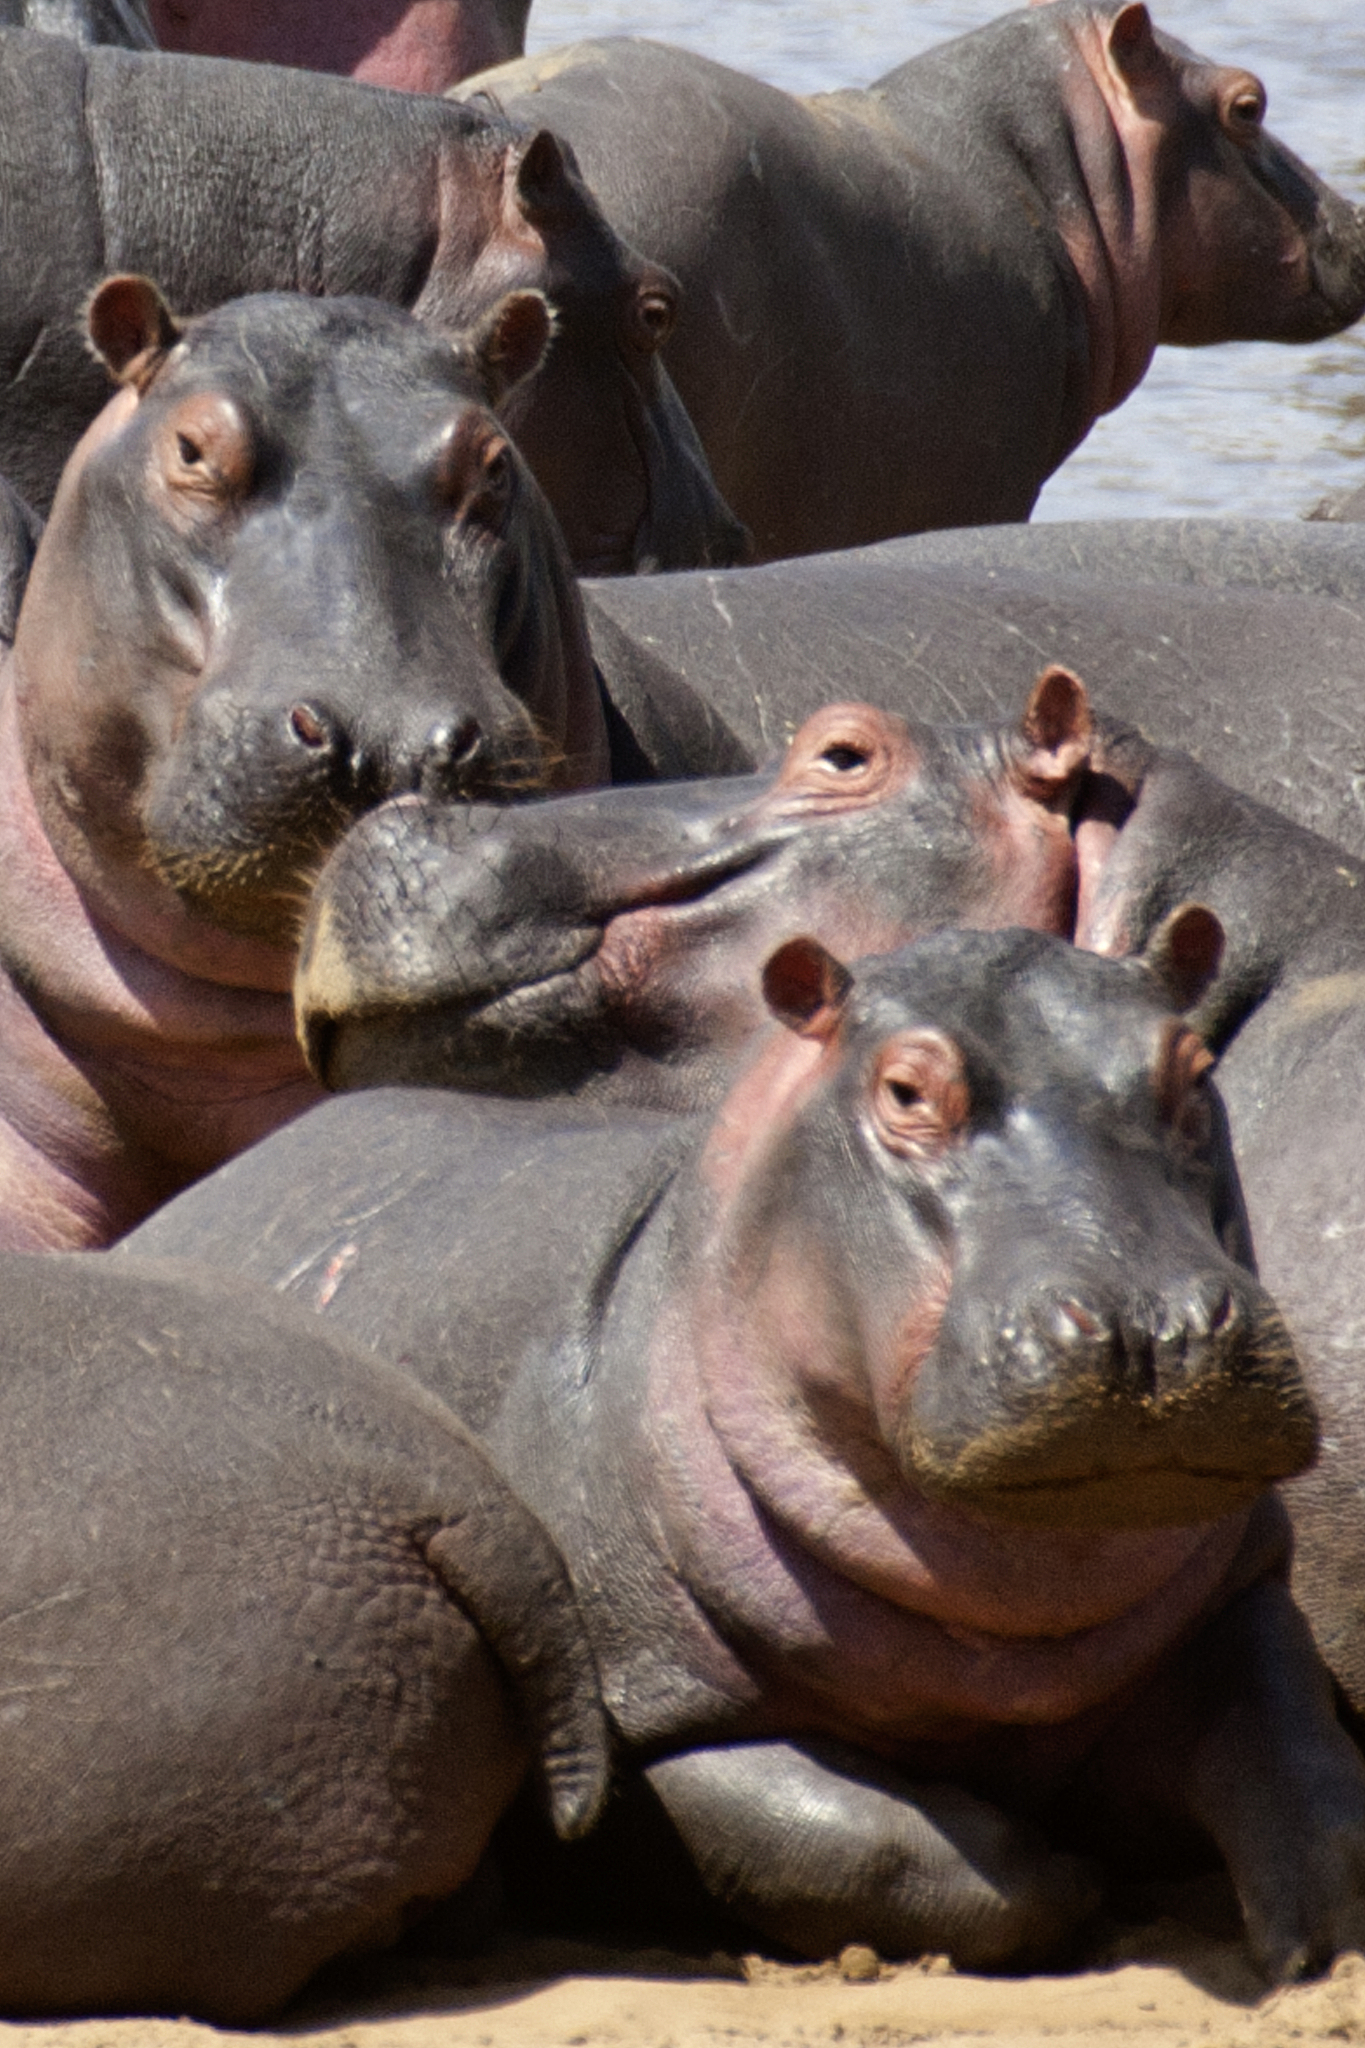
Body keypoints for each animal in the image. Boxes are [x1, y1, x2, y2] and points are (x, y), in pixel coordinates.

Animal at [125, 921, 1365, 1983]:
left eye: (1192, 1066)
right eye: (905, 1089)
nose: (1150, 1325)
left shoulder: (1242, 1587)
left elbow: (1302, 1755)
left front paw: (1329, 1945)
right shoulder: (633, 1717)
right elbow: (848, 1837)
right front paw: (1062, 1873)